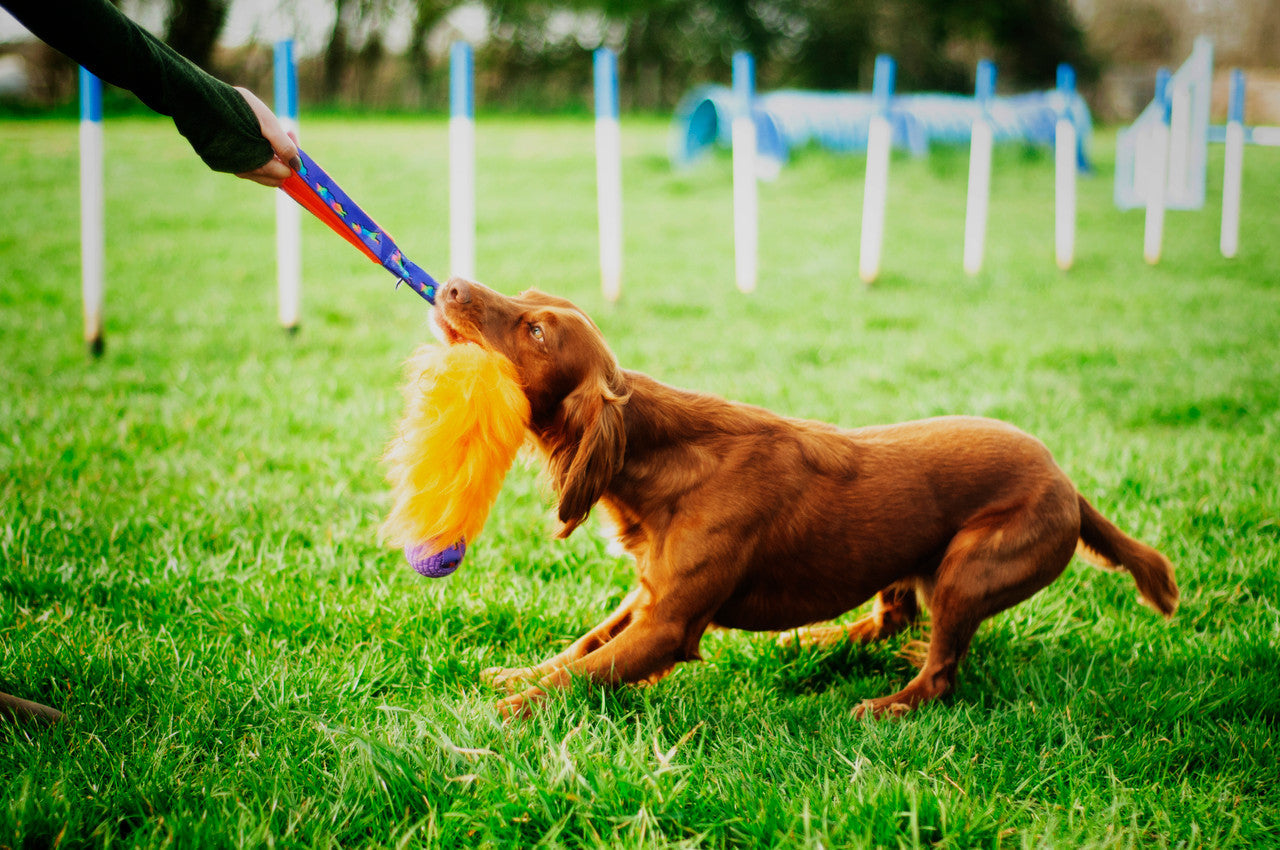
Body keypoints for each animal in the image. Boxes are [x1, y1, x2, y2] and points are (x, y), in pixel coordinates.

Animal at [432, 280, 1177, 716]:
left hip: (970, 569)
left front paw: (497, 716)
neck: (663, 457)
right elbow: (581, 647)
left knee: (940, 673)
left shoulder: (669, 625)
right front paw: (515, 674)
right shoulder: (646, 594)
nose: (452, 284)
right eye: (525, 294)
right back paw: (814, 640)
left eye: (535, 331)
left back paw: (885, 707)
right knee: (892, 618)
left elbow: (583, 675)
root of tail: (1069, 486)